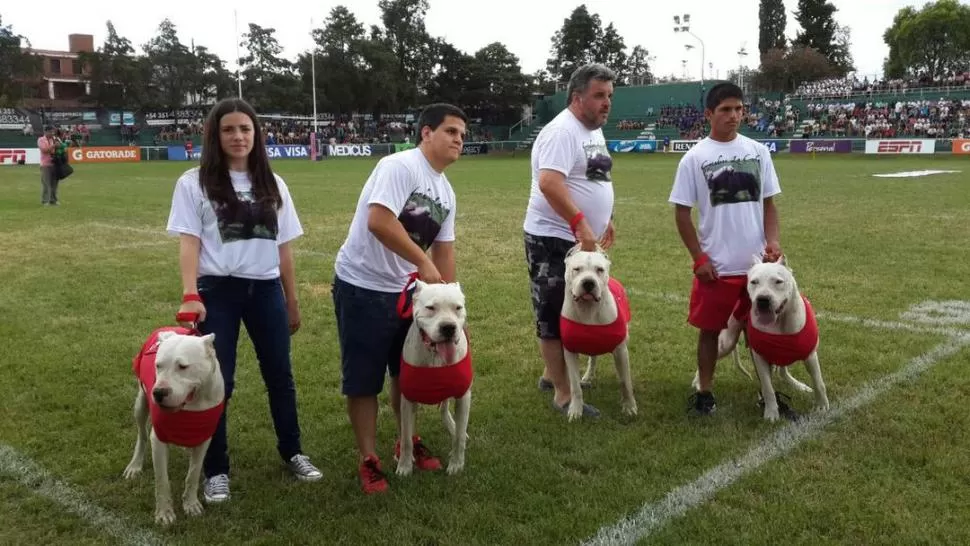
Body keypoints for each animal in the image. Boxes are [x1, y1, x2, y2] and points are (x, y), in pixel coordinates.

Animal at [394, 280, 468, 476]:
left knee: (446, 411)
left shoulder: (463, 397)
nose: (448, 327)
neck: (434, 355)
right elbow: (406, 439)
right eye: (430, 308)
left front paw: (456, 463)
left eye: (458, 308)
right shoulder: (407, 400)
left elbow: (458, 438)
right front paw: (404, 466)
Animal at [560, 245, 636, 420]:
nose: (588, 282)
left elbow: (625, 382)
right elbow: (575, 387)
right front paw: (576, 410)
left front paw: (629, 407)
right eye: (577, 269)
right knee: (592, 358)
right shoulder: (570, 352)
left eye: (599, 270)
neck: (588, 310)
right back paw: (588, 376)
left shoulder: (621, 351)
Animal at [716, 256, 828, 420]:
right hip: (727, 343)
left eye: (778, 281)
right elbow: (768, 388)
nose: (762, 299)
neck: (779, 322)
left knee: (783, 371)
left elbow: (819, 382)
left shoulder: (810, 355)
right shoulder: (760, 358)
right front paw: (771, 413)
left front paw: (822, 406)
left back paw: (797, 385)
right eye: (754, 282)